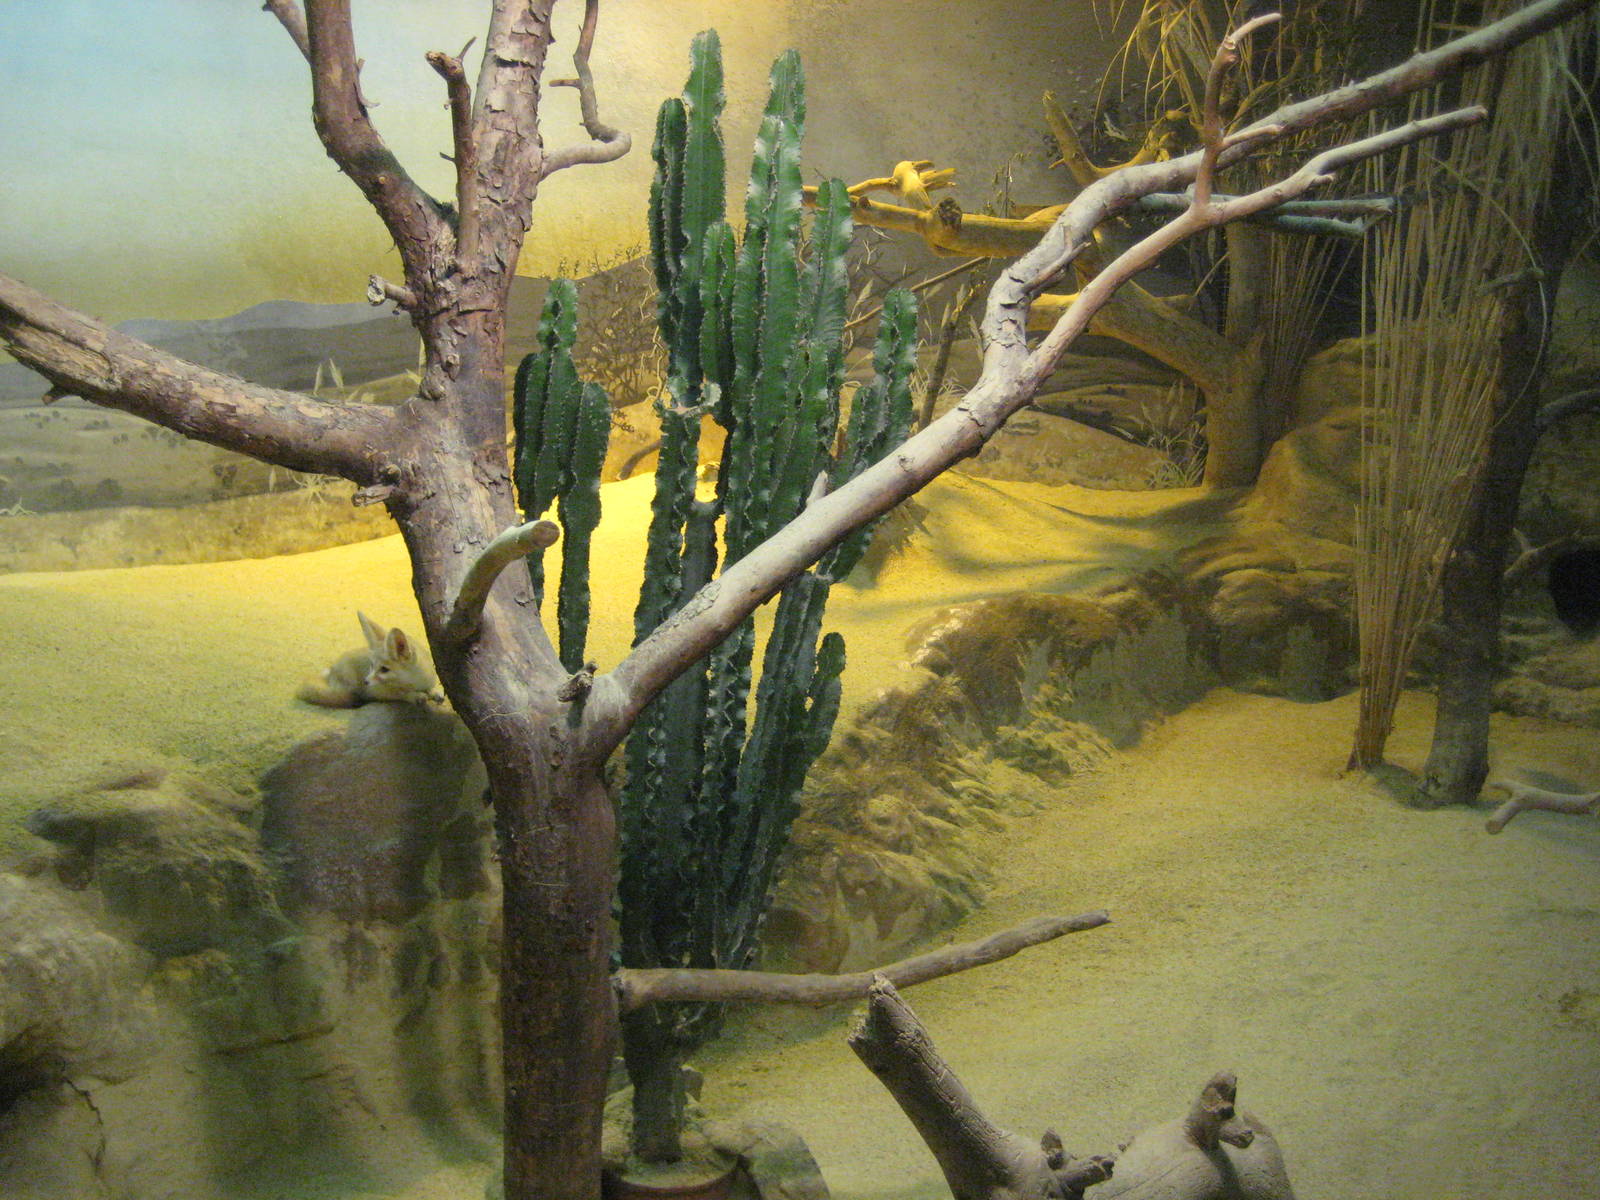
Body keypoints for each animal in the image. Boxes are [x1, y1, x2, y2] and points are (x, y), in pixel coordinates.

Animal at [296, 612, 444, 708]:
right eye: (371, 665)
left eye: (384, 669)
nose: (365, 682)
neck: (415, 681)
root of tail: (332, 670)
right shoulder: (377, 692)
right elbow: (400, 694)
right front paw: (416, 696)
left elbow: (431, 687)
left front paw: (435, 691)